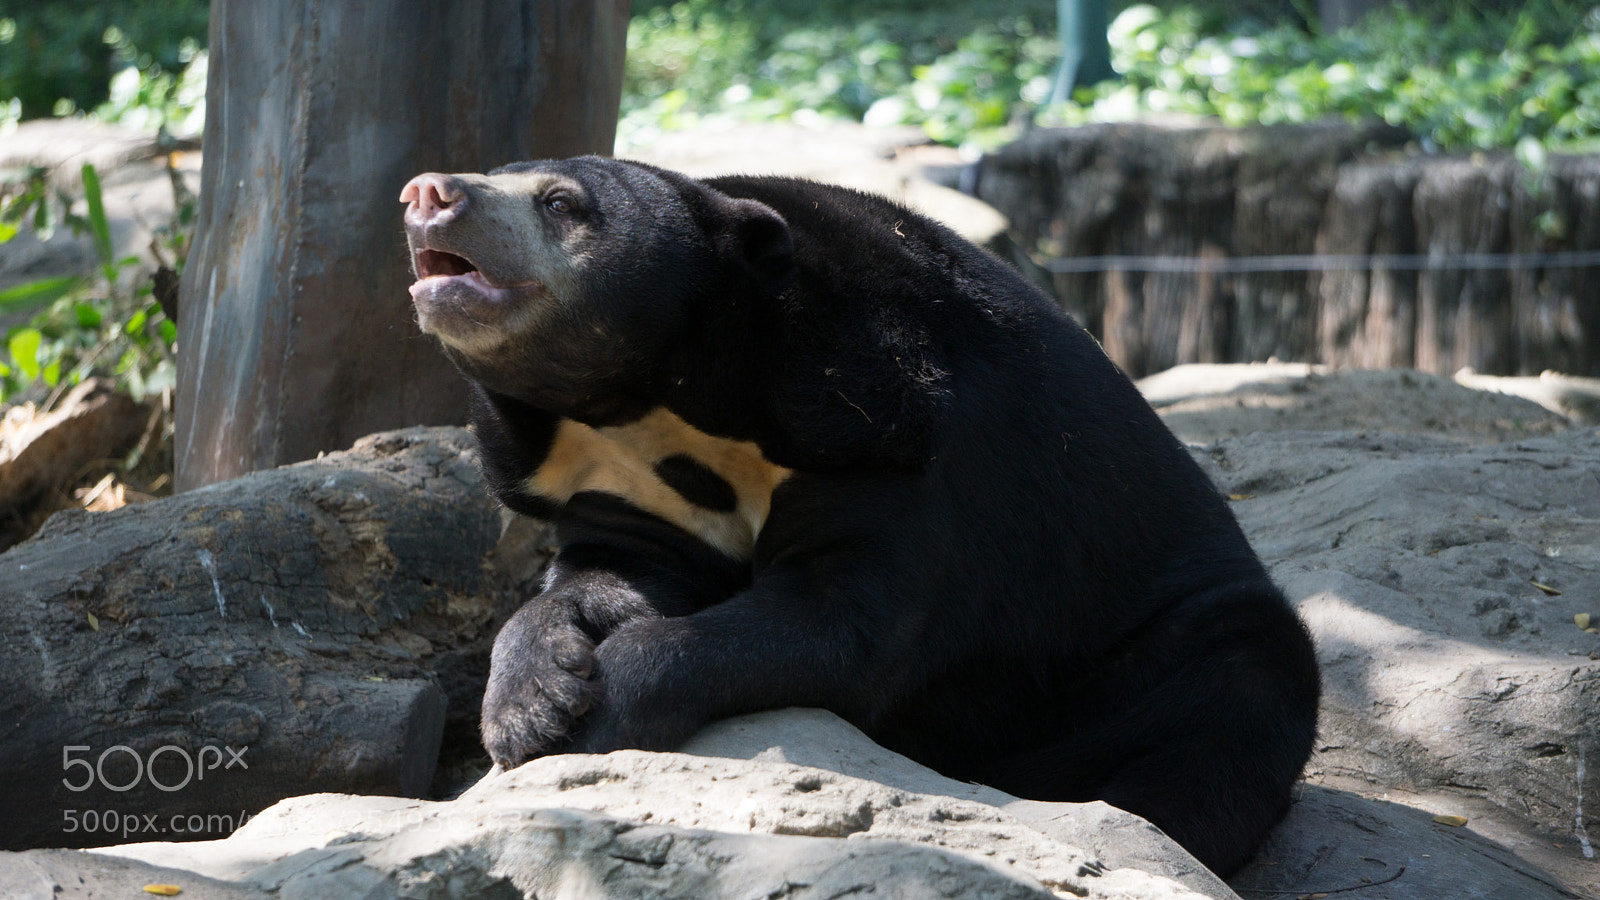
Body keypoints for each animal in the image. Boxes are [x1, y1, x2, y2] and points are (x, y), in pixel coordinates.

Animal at [399, 156, 1320, 876]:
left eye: (560, 203)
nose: (426, 193)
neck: (658, 401)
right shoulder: (625, 491)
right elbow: (607, 576)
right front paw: (531, 703)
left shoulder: (890, 440)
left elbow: (841, 623)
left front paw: (605, 709)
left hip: (1159, 647)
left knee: (1224, 719)